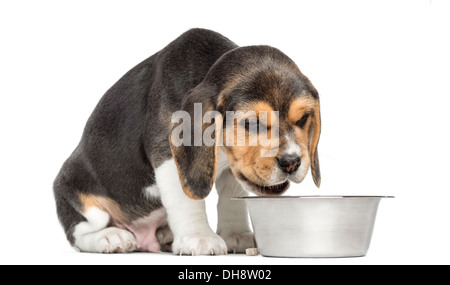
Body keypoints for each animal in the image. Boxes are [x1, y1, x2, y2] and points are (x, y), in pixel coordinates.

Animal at [52, 28, 320, 255]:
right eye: (252, 123)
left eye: (303, 118)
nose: (291, 162)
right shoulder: (169, 156)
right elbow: (187, 200)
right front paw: (199, 238)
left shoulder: (233, 164)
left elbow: (230, 198)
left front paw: (236, 235)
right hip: (78, 194)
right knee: (80, 232)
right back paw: (110, 237)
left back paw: (165, 236)